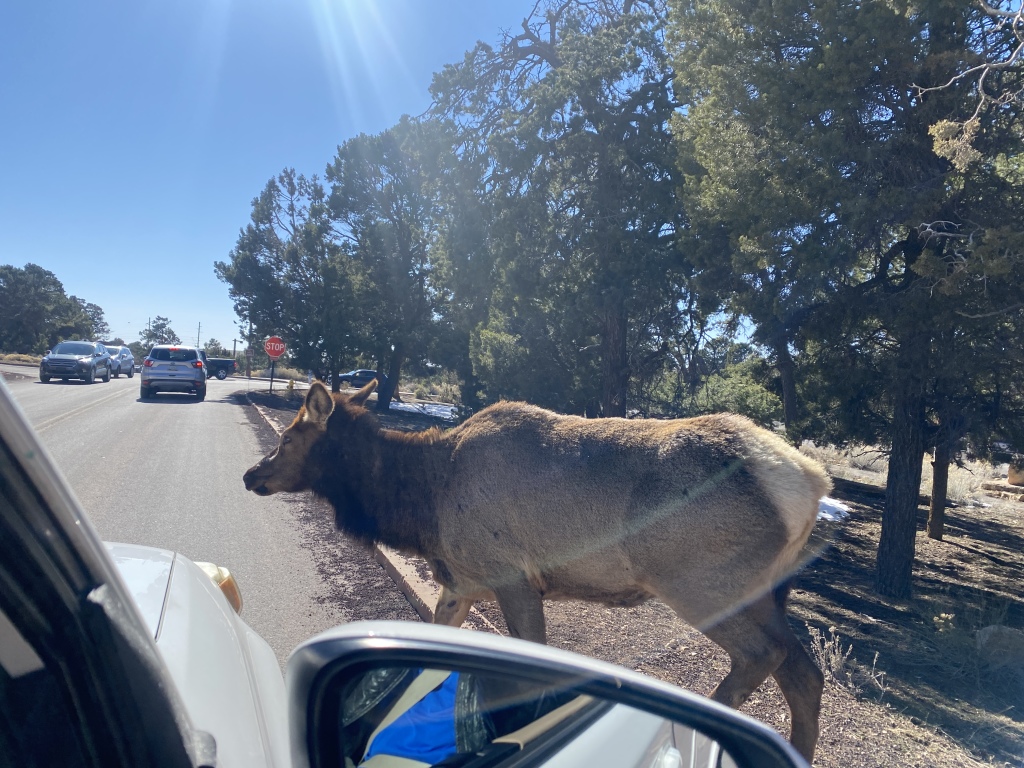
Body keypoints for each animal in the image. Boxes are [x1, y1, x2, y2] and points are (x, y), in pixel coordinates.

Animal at [243, 380, 830, 762]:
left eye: (290, 436)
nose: (251, 475)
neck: (422, 504)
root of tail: (811, 483)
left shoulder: (512, 576)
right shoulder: (461, 582)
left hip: (700, 582)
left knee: (764, 654)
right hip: (765, 592)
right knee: (803, 670)